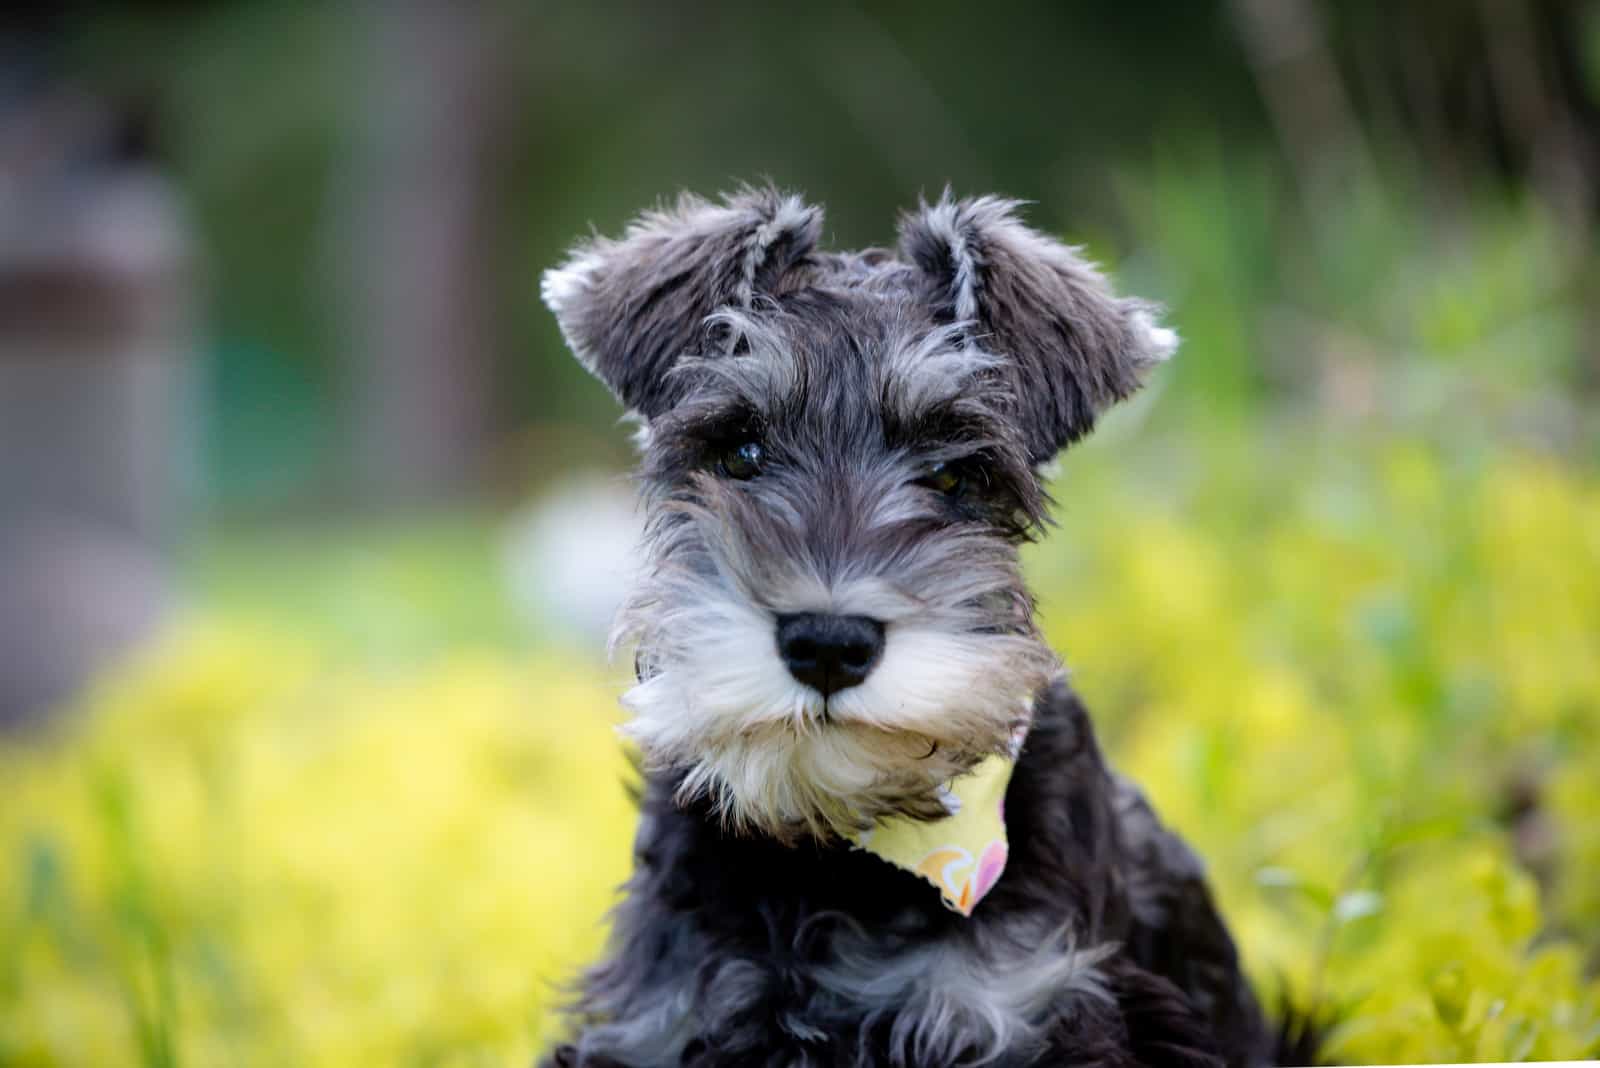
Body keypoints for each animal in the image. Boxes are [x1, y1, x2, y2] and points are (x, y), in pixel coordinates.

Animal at [544, 189, 1280, 1068]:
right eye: (740, 451)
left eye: (953, 474)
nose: (828, 643)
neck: (836, 851)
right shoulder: (663, 1018)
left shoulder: (1024, 1008)